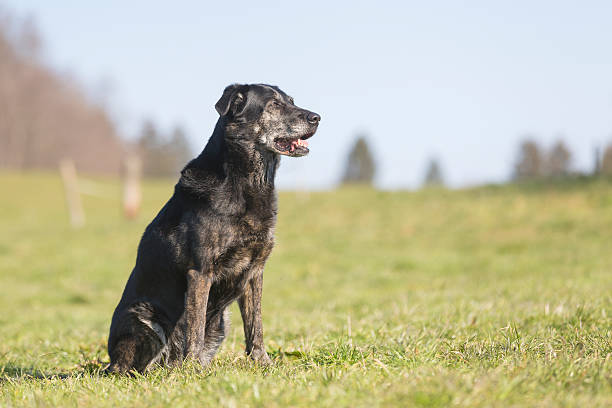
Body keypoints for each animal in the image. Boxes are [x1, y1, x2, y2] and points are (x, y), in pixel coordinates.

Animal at [106, 83, 320, 372]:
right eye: (274, 105)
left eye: (292, 101)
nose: (317, 117)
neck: (247, 182)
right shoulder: (200, 272)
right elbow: (194, 328)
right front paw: (193, 369)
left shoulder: (255, 272)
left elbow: (256, 325)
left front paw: (262, 362)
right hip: (142, 316)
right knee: (134, 367)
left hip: (221, 321)